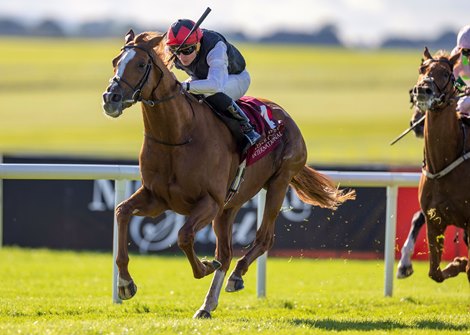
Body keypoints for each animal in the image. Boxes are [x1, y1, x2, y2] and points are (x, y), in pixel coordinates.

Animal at [102, 30, 352, 318]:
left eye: (141, 64)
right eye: (115, 61)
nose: (111, 98)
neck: (179, 135)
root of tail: (284, 115)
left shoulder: (209, 201)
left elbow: (183, 235)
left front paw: (204, 266)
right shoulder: (157, 198)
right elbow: (121, 211)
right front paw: (125, 283)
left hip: (278, 183)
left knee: (263, 238)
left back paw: (236, 276)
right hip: (229, 207)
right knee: (226, 252)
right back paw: (207, 305)